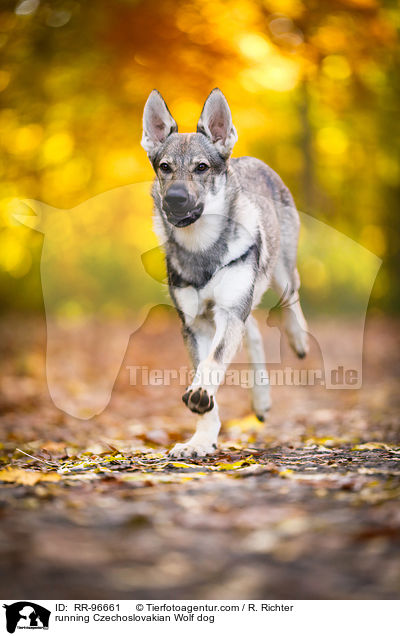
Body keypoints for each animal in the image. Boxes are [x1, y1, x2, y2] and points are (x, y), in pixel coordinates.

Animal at [141, 88, 310, 458]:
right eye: (165, 168)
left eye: (201, 167)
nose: (174, 198)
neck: (202, 248)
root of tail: (250, 158)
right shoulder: (196, 323)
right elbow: (206, 379)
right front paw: (201, 440)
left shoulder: (229, 311)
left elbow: (213, 362)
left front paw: (202, 398)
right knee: (255, 331)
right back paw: (260, 400)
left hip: (279, 273)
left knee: (292, 297)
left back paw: (300, 339)